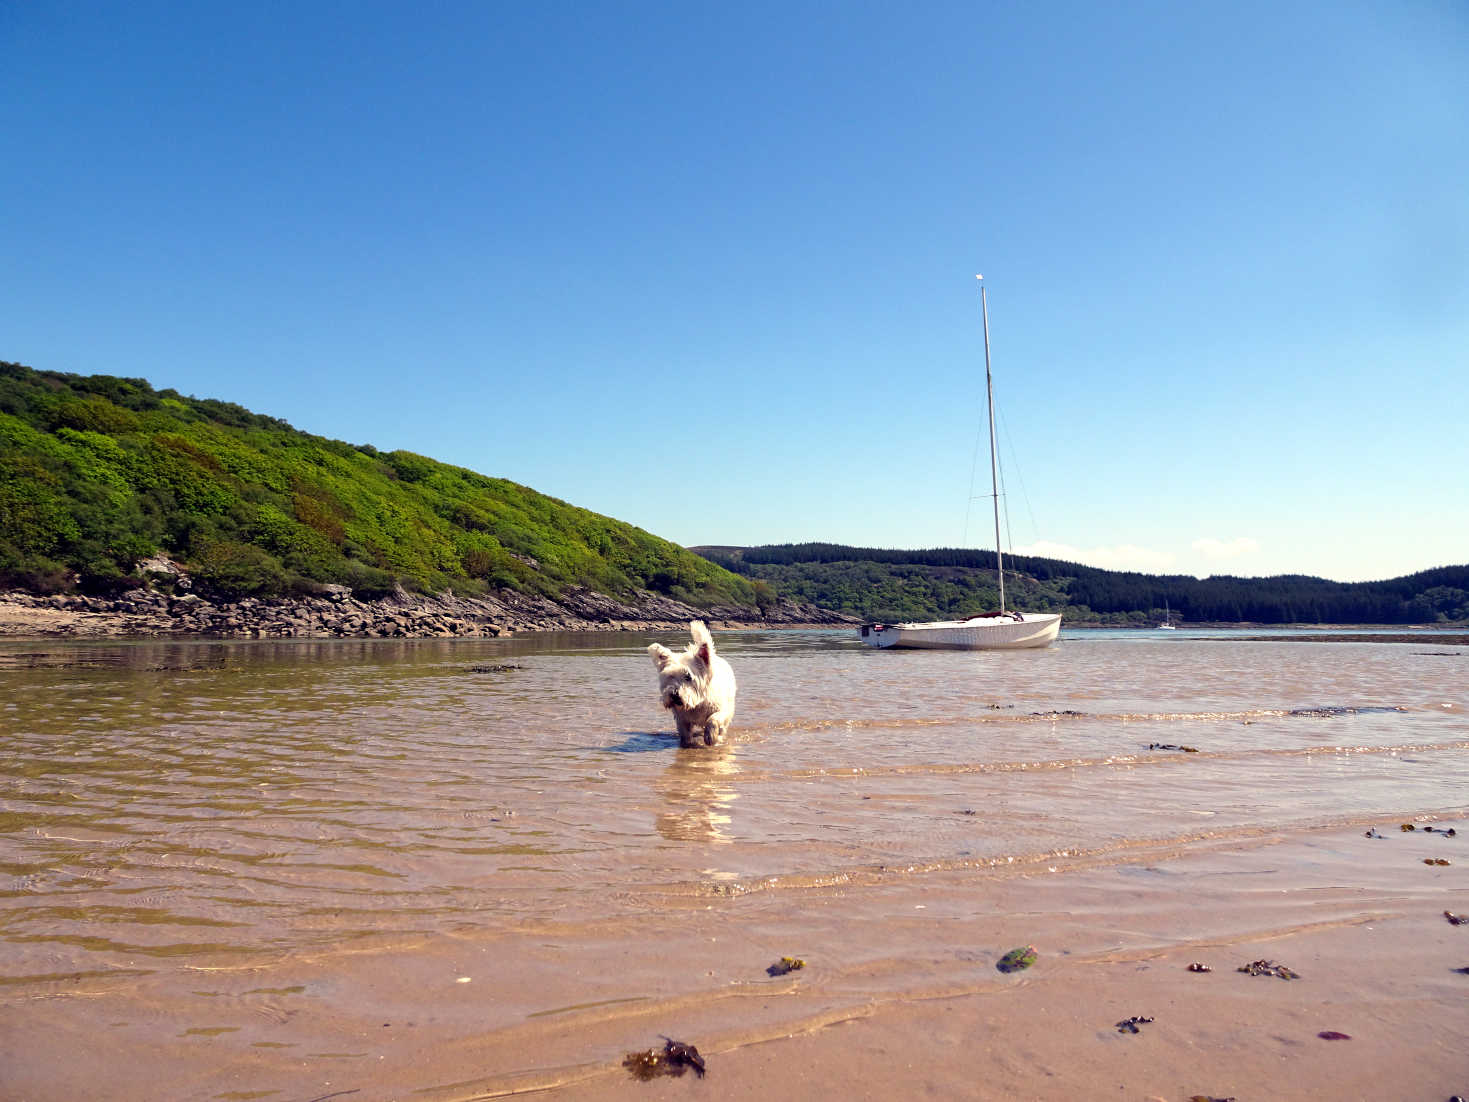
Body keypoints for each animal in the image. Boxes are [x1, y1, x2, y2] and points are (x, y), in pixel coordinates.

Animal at [646, 622, 734, 752]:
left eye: (688, 676)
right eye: (670, 676)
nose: (674, 694)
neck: (697, 704)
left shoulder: (722, 710)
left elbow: (713, 719)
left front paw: (711, 737)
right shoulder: (681, 718)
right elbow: (685, 734)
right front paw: (687, 745)